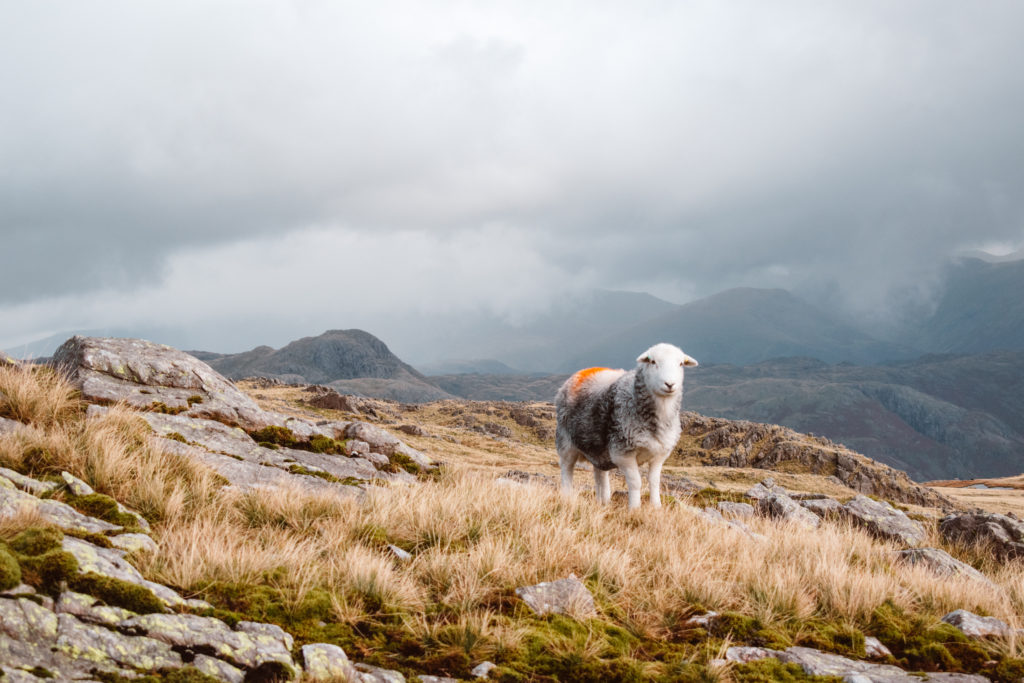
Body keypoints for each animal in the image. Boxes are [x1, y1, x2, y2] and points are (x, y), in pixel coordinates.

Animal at [555, 343, 698, 509]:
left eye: (681, 364)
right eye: (653, 362)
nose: (670, 384)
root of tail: (582, 372)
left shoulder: (659, 454)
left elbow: (654, 482)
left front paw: (656, 507)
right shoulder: (623, 453)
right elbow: (636, 482)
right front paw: (635, 508)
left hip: (598, 447)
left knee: (600, 474)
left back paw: (603, 501)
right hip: (565, 442)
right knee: (566, 469)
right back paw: (567, 497)